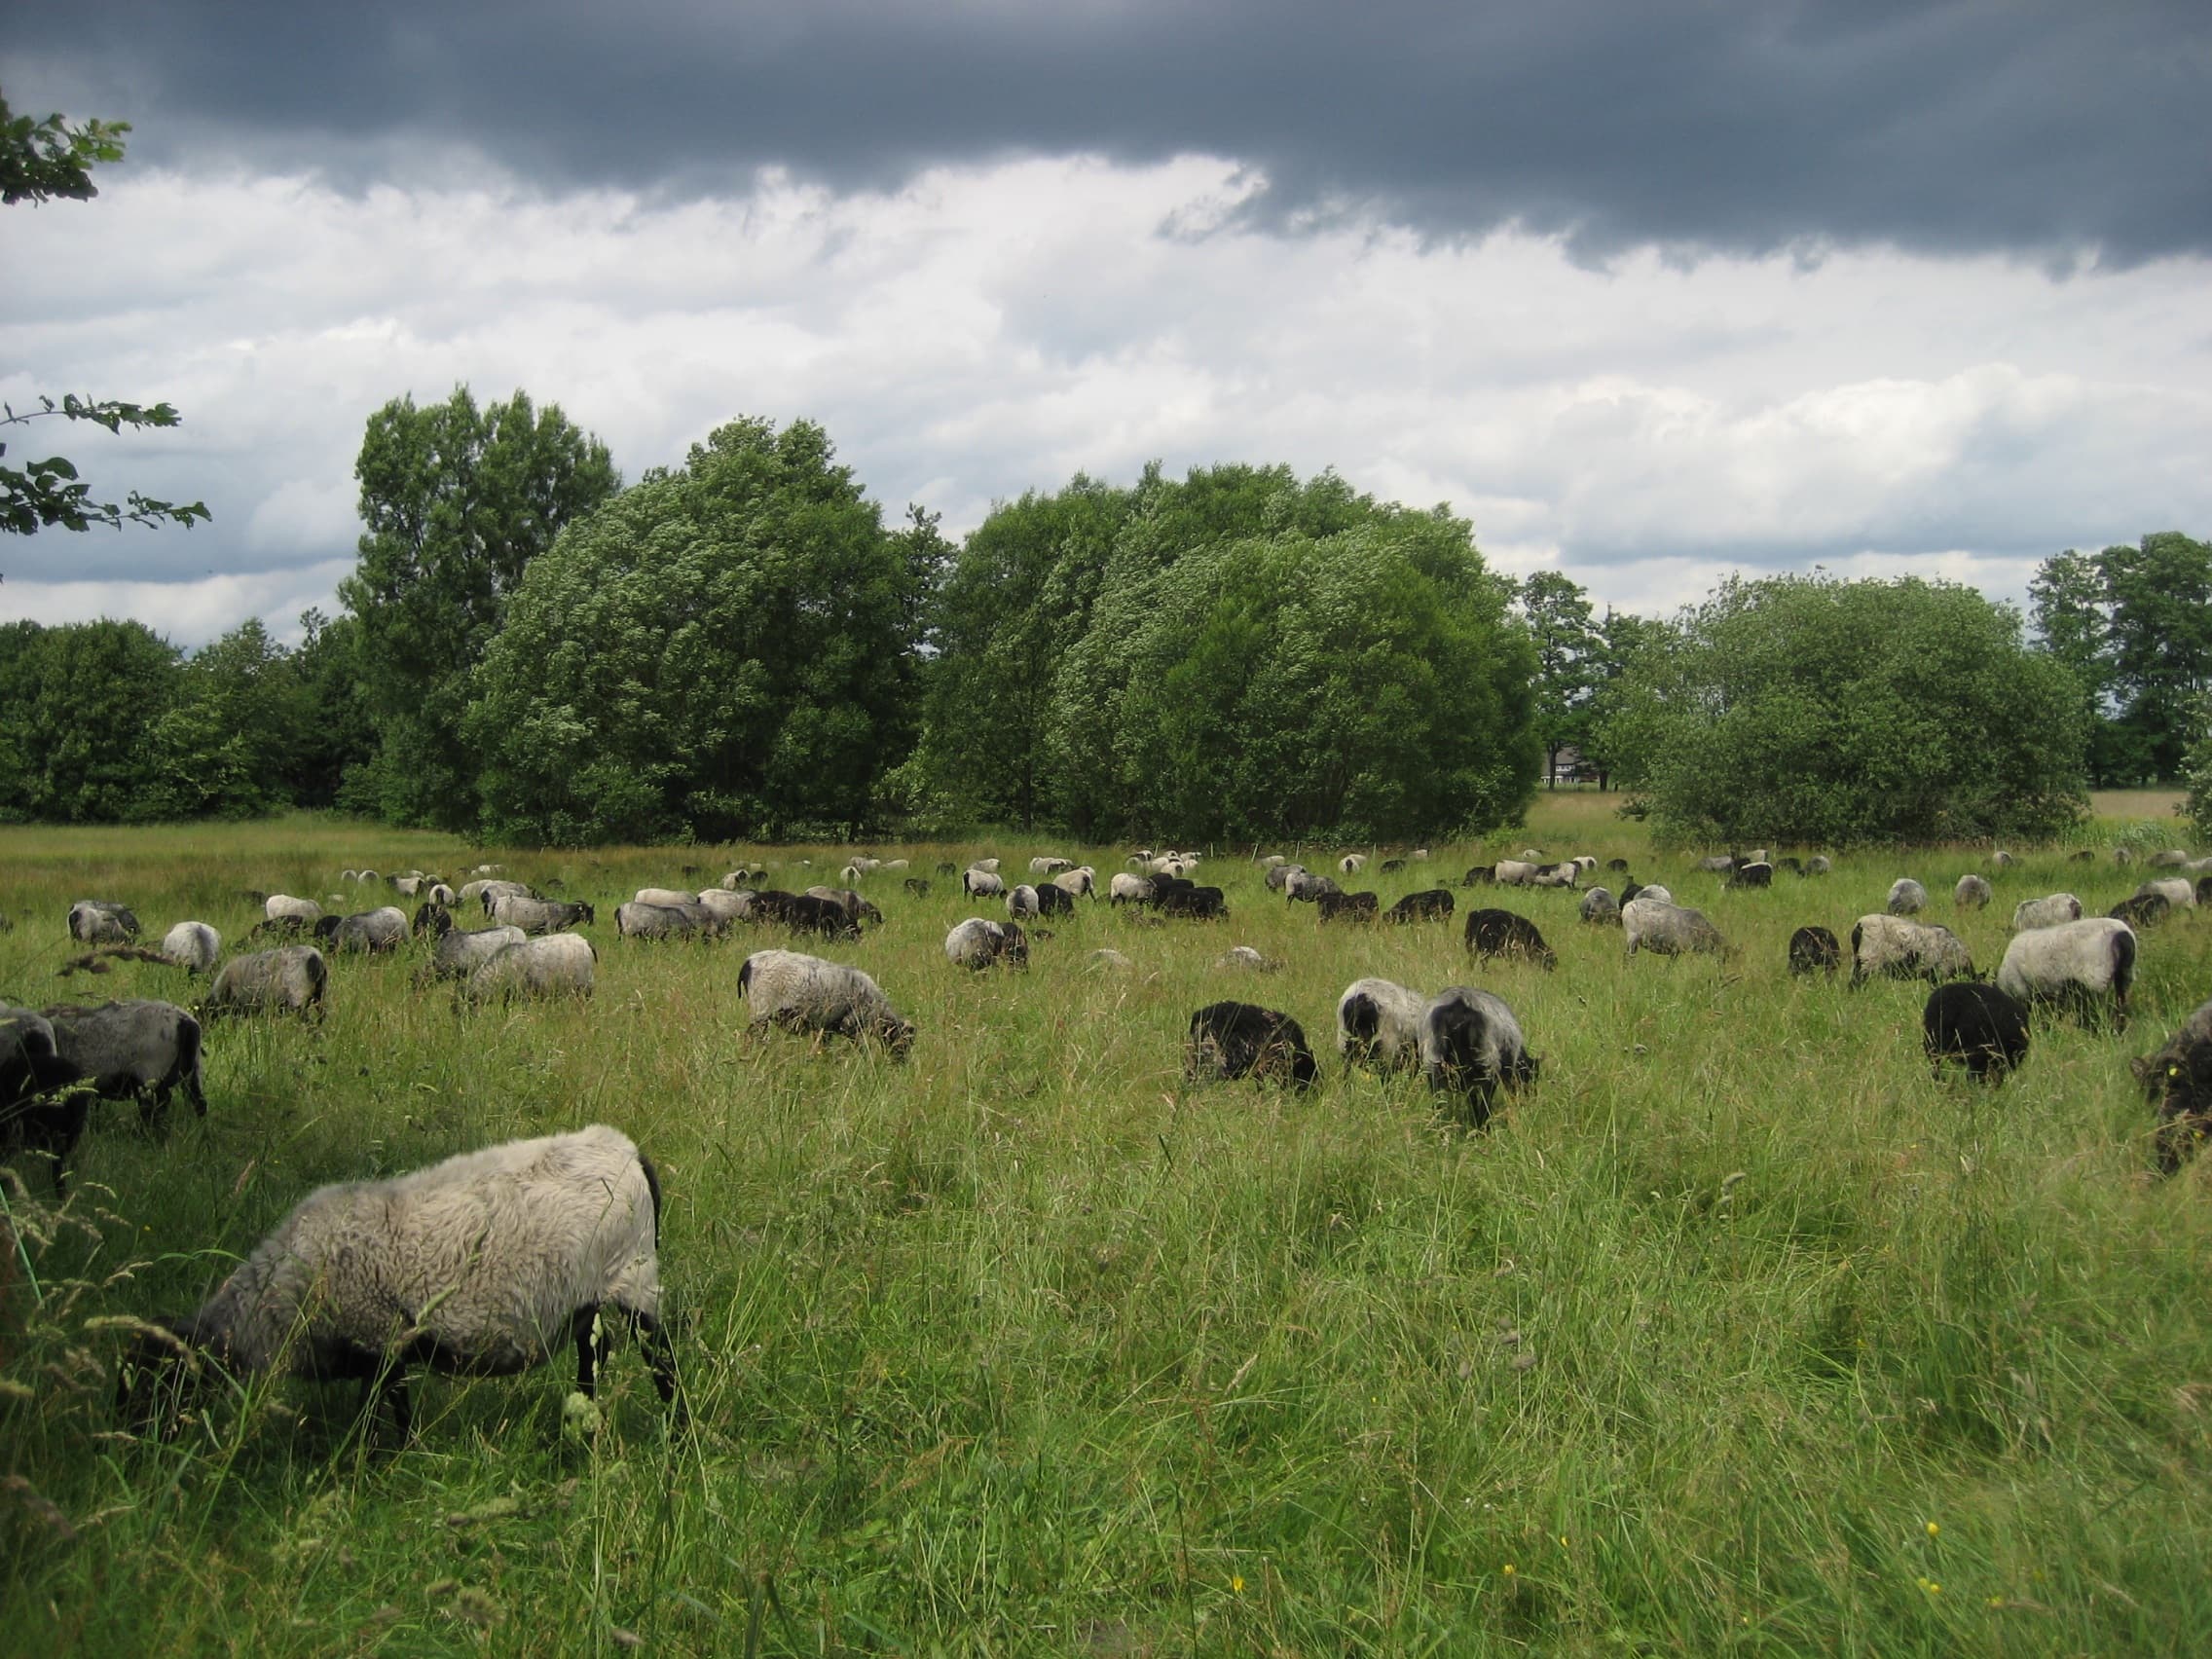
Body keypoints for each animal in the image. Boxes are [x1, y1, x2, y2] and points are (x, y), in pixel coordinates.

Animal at [116, 1124, 677, 1440]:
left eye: (156, 1383)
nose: (128, 1446)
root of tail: (628, 1150)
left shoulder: (381, 1341)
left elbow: (387, 1417)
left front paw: (383, 1465)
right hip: (588, 1300)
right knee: (592, 1359)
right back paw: (584, 1426)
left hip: (634, 1277)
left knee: (663, 1359)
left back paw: (676, 1433)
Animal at [738, 949, 913, 1056]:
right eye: (904, 1042)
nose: (900, 1064)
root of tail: (748, 963)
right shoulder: (848, 1025)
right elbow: (861, 1049)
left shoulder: (827, 1027)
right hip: (761, 1010)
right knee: (750, 1037)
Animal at [1419, 987, 1537, 1129]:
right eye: (1533, 1076)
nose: (1532, 1100)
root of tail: (1459, 1004)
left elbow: (1473, 1099)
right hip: (1487, 1063)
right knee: (1485, 1102)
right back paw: (1482, 1128)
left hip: (1434, 1063)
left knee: (1437, 1104)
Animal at [1994, 918, 2136, 1030]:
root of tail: (2122, 935)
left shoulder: (2021, 989)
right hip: (2124, 975)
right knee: (2120, 1005)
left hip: (2096, 979)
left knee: (2099, 1009)